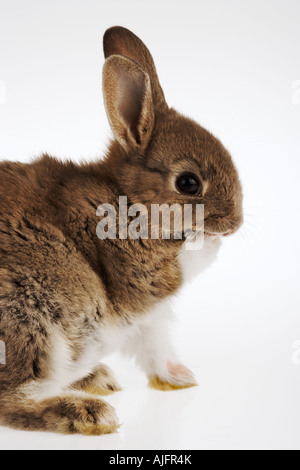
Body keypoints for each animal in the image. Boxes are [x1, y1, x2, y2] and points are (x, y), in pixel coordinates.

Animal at [0, 27, 244, 436]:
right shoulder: (142, 274)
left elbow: (156, 349)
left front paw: (181, 378)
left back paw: (97, 379)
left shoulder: (148, 322)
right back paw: (87, 412)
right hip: (32, 321)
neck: (130, 200)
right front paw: (206, 239)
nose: (235, 223)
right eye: (188, 183)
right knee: (10, 397)